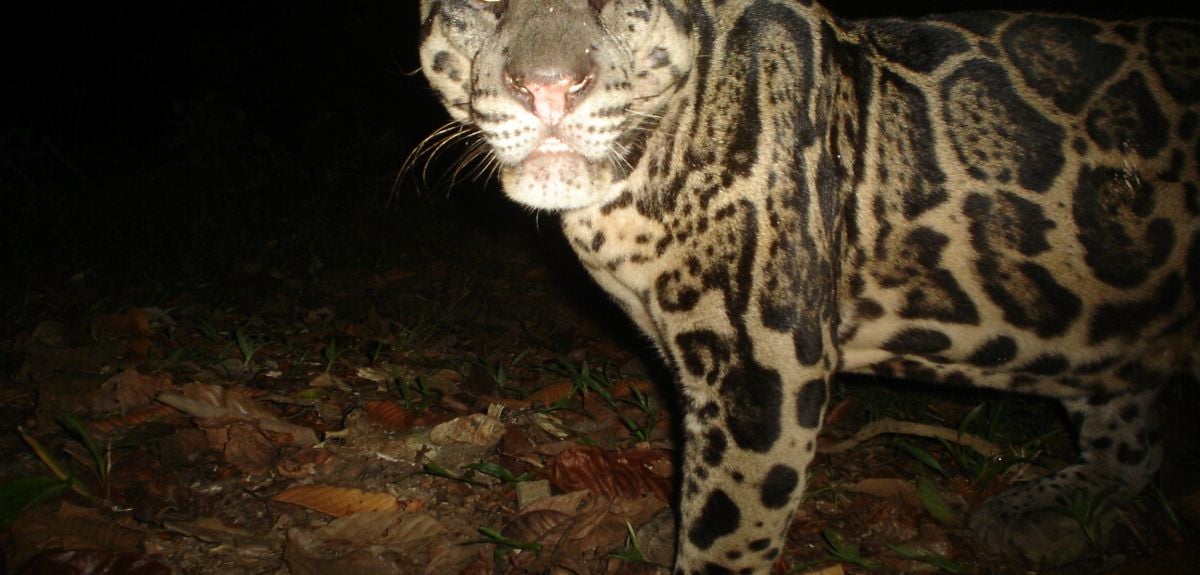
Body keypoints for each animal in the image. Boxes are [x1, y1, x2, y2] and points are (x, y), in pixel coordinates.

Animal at [417, 0, 1200, 571]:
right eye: (482, 4)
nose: (549, 88)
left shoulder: (762, 370)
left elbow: (728, 530)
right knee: (1132, 441)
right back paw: (1041, 511)